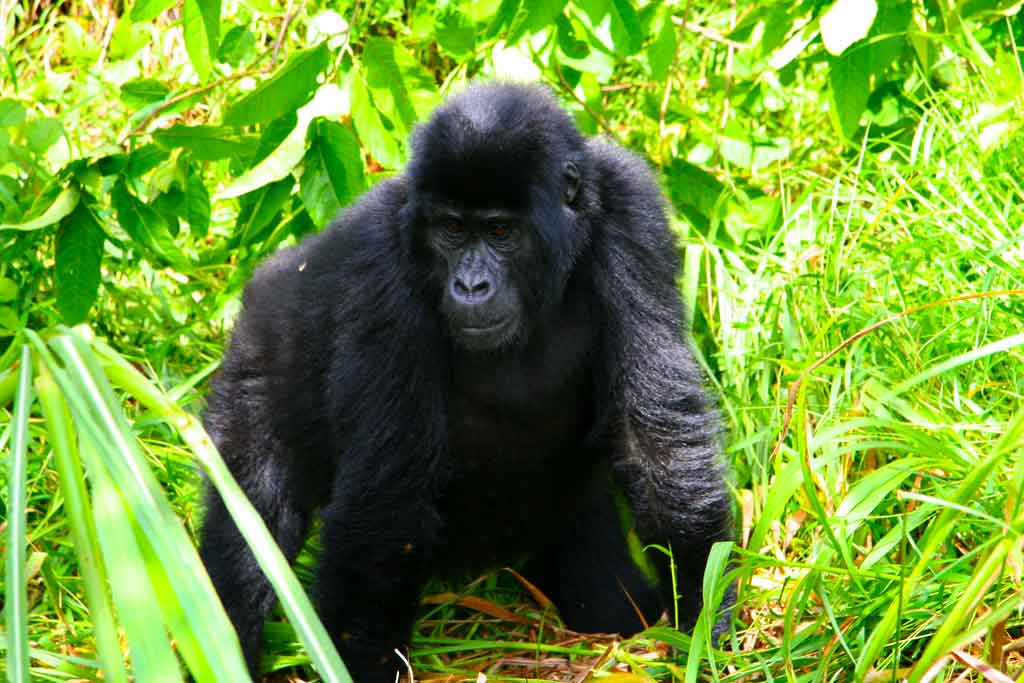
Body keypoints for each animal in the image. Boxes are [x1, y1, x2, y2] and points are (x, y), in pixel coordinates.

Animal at [197, 82, 729, 679]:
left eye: (499, 231)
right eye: (452, 230)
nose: (471, 286)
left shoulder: (630, 212)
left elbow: (655, 442)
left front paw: (704, 614)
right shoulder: (381, 260)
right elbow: (384, 505)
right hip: (256, 357)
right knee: (252, 514)